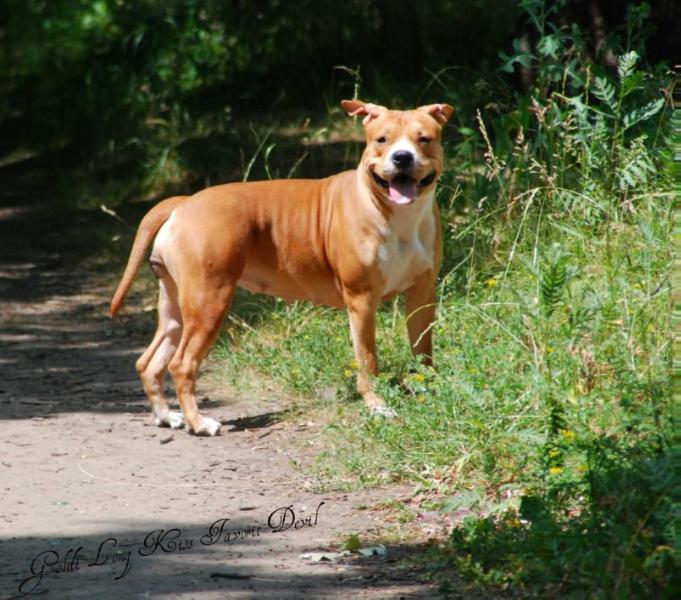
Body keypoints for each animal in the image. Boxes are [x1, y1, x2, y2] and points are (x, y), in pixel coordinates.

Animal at [110, 99, 452, 436]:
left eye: (424, 139)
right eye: (382, 139)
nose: (402, 156)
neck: (396, 215)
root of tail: (182, 203)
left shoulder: (422, 294)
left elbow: (423, 349)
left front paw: (430, 387)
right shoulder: (362, 300)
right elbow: (368, 359)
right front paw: (378, 406)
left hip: (176, 307)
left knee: (149, 362)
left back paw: (168, 417)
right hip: (207, 302)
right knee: (181, 364)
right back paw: (199, 423)